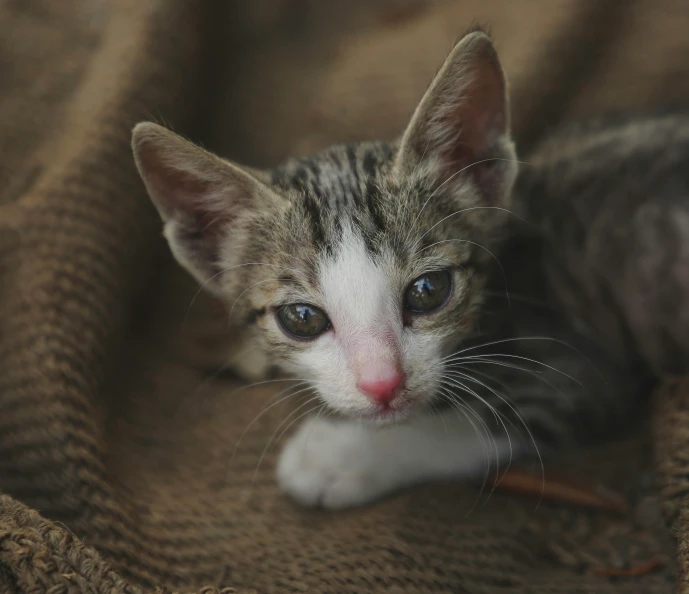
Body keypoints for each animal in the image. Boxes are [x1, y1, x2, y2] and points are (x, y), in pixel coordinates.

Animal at [133, 27, 652, 506]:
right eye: (302, 318)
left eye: (428, 290)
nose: (382, 384)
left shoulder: (587, 371)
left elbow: (472, 419)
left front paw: (338, 457)